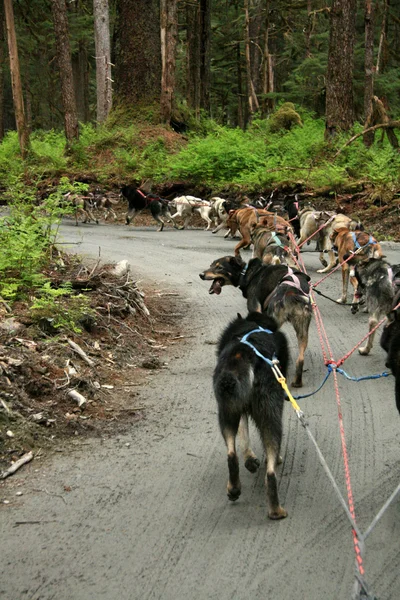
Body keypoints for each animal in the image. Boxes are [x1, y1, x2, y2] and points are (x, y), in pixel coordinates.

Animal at [200, 254, 312, 386]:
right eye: (211, 265)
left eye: (220, 267)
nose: (201, 275)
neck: (246, 272)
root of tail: (291, 292)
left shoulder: (255, 311)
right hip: (303, 330)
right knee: (300, 359)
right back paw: (297, 381)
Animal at [214, 312, 290, 516]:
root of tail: (243, 353)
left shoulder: (238, 405)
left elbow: (243, 434)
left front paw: (249, 459)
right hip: (271, 415)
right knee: (270, 469)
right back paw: (276, 509)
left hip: (227, 410)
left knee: (231, 454)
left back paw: (234, 487)